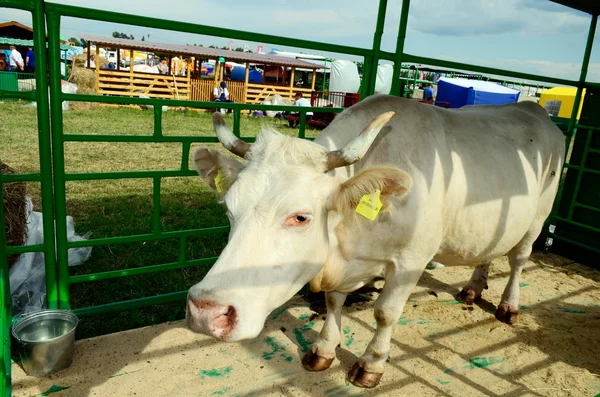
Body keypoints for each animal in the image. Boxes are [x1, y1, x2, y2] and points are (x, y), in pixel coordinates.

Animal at [185, 95, 564, 386]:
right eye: (229, 209)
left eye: (301, 217)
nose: (206, 312)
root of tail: (532, 108)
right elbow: (334, 301)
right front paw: (323, 349)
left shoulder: (411, 260)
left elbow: (385, 313)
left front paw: (371, 363)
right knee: (489, 251)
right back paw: (472, 288)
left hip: (538, 216)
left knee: (518, 259)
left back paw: (509, 306)